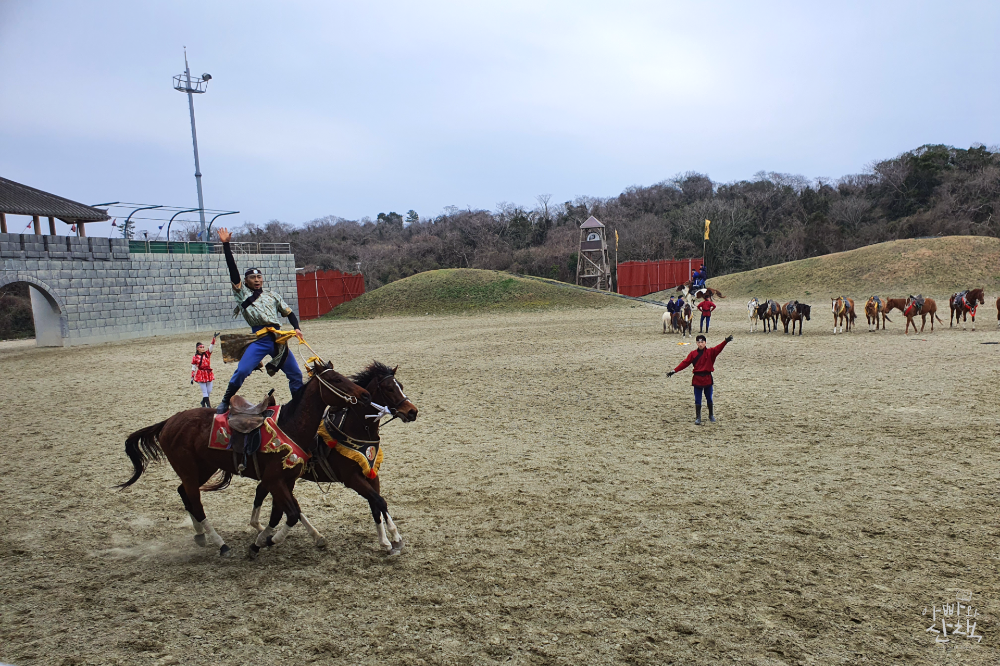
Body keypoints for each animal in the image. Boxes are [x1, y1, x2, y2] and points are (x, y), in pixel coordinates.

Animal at [118, 361, 371, 557]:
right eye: (336, 380)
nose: (365, 394)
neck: (291, 425)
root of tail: (168, 422)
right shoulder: (274, 480)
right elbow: (290, 513)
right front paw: (267, 540)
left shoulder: (287, 480)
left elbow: (285, 512)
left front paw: (265, 540)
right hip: (189, 470)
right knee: (195, 502)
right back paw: (220, 543)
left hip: (204, 468)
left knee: (184, 493)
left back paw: (200, 535)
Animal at [247, 361, 419, 557]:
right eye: (390, 388)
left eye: (401, 386)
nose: (412, 411)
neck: (358, 428)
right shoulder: (352, 478)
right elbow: (379, 501)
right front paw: (390, 540)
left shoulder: (371, 474)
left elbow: (378, 504)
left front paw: (391, 539)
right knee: (274, 498)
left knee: (271, 496)